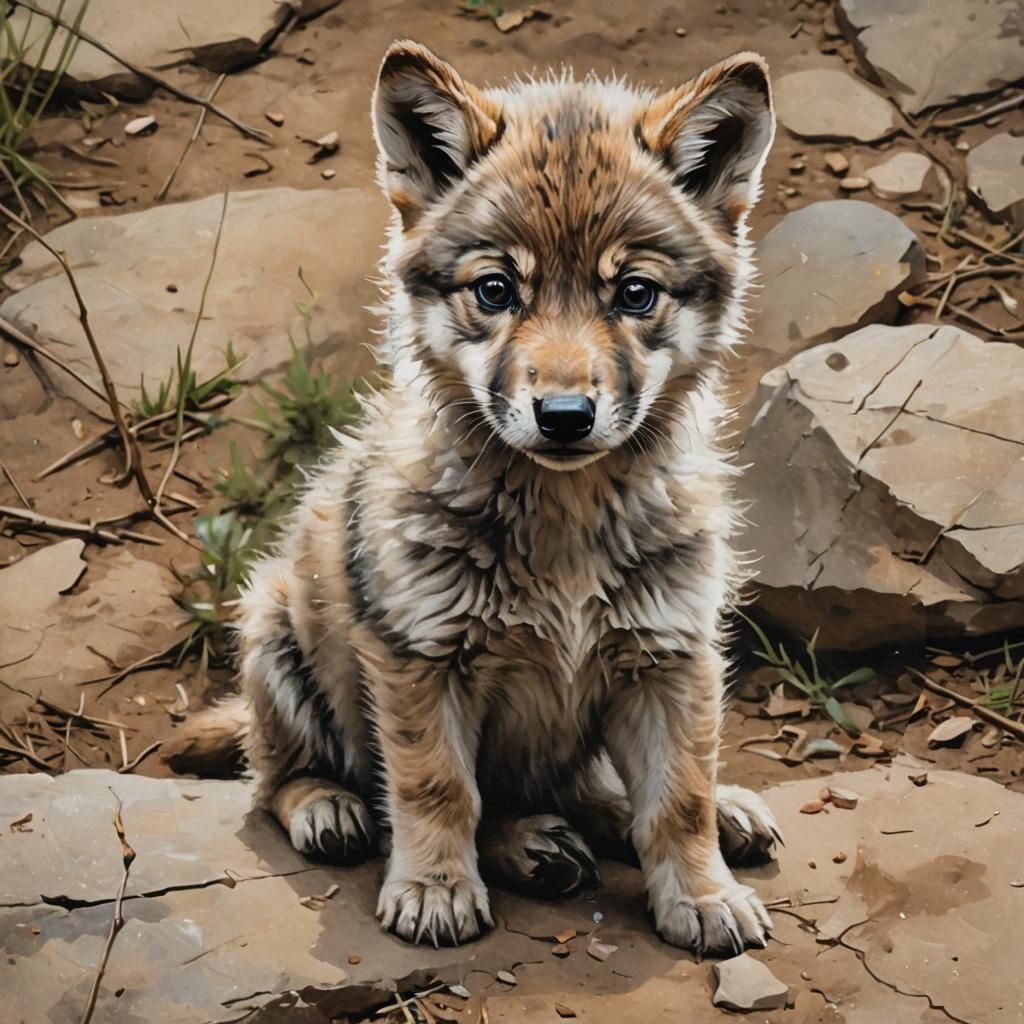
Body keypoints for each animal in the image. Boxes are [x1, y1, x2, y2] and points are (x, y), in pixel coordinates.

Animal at [213, 39, 780, 955]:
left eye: (634, 294)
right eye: (495, 291)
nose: (565, 417)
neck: (565, 520)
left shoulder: (670, 656)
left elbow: (679, 799)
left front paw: (702, 894)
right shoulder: (422, 660)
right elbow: (439, 789)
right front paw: (437, 890)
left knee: (601, 796)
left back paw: (694, 818)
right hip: (273, 637)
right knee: (277, 777)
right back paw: (350, 812)